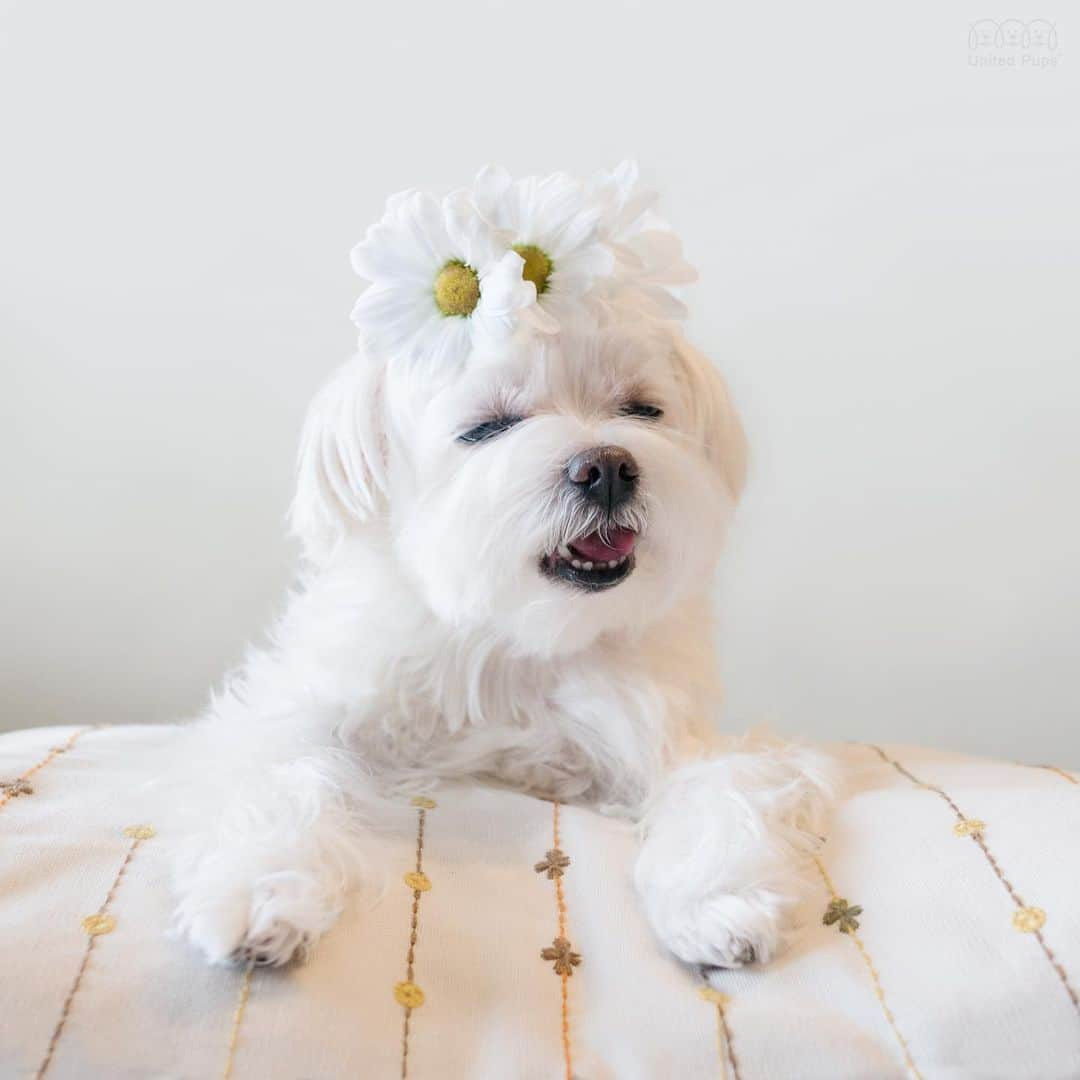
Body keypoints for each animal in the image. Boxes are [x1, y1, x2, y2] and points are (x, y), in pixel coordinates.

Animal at [168, 164, 829, 976]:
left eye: (642, 410)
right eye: (488, 426)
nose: (607, 467)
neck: (511, 636)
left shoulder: (666, 736)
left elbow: (718, 787)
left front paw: (718, 901)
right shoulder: (294, 716)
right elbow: (278, 777)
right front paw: (260, 892)